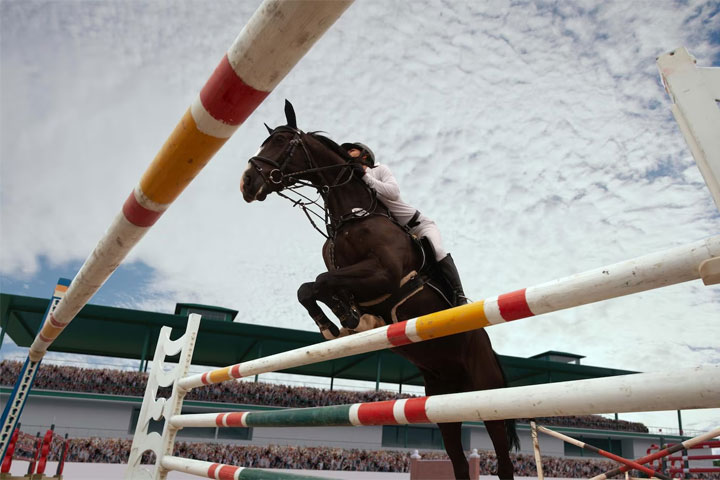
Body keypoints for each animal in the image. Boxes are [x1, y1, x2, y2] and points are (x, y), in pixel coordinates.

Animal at [240, 100, 516, 476]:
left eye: (282, 142)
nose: (247, 182)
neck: (353, 215)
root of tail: (488, 345)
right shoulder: (348, 275)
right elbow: (309, 288)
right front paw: (339, 322)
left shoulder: (383, 274)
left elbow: (321, 282)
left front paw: (345, 319)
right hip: (443, 399)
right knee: (458, 459)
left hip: (485, 395)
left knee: (502, 457)